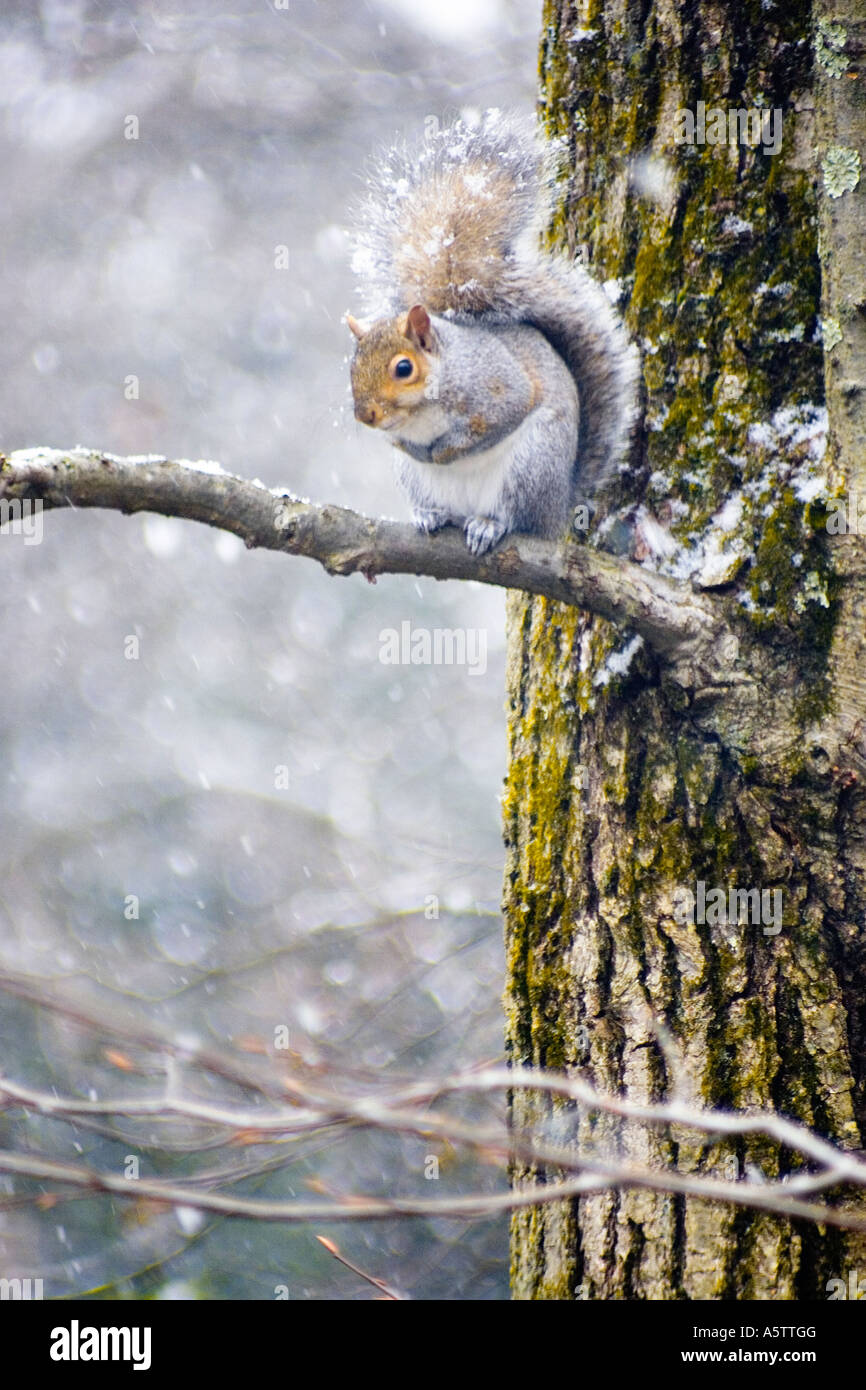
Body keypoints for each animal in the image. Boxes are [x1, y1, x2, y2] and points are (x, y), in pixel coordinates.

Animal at [343, 109, 636, 553]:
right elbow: (400, 443)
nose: (365, 415)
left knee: (515, 516)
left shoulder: (496, 389)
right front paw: (415, 448)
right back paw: (430, 515)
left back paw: (489, 525)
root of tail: (559, 509)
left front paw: (444, 452)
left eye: (403, 368)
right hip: (420, 482)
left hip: (531, 465)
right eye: (352, 368)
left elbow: (499, 417)